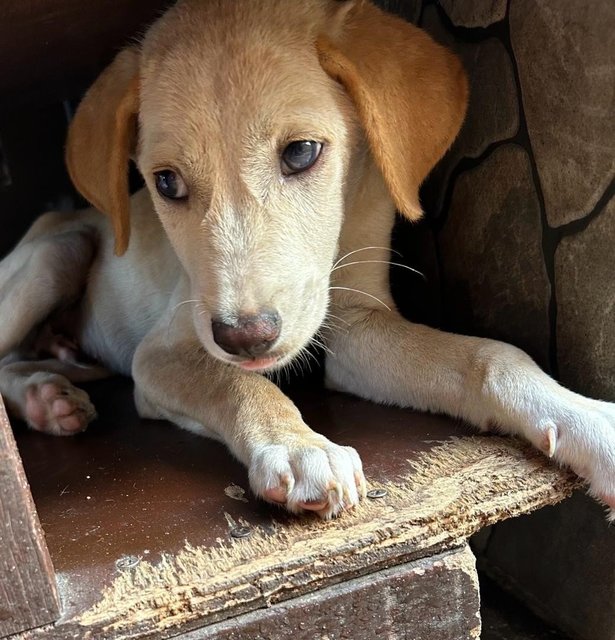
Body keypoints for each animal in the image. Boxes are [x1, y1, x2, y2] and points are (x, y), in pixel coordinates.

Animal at [1, 1, 615, 520]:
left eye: (301, 152)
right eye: (166, 182)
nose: (245, 338)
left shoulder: (356, 326)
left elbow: (490, 357)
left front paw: (588, 422)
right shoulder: (162, 353)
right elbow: (236, 383)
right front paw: (298, 447)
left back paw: (54, 381)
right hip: (58, 251)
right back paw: (41, 399)